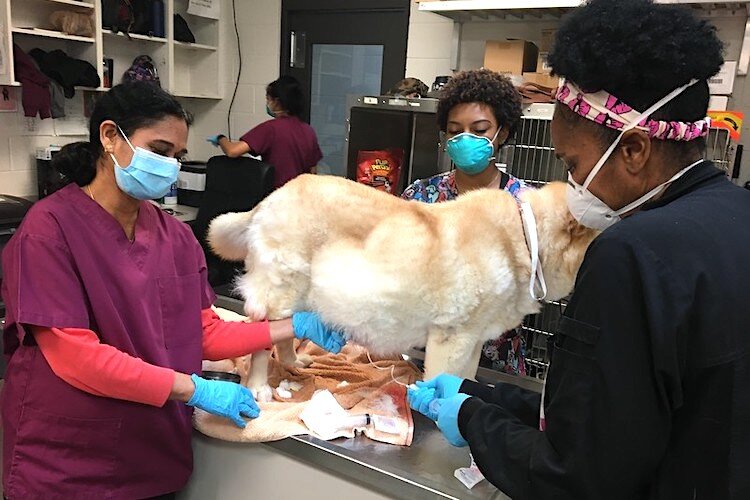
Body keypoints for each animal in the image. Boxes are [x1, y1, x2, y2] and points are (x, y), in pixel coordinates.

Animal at [209, 174, 596, 392]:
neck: (525, 238)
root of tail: (270, 199)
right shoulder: (452, 339)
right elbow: (442, 377)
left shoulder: (472, 341)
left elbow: (464, 378)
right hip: (280, 290)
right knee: (263, 339)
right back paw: (258, 386)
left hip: (299, 295)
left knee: (286, 332)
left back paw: (293, 362)